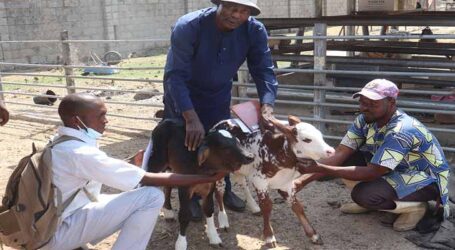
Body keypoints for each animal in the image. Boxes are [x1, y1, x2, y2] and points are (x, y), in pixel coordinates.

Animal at [213, 115, 334, 248]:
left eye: (321, 136)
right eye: (307, 140)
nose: (331, 150)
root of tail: (222, 122)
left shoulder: (286, 184)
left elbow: (297, 206)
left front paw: (313, 234)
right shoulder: (260, 181)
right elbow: (267, 206)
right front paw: (269, 236)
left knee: (242, 182)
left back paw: (254, 207)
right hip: (219, 170)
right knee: (219, 190)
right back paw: (223, 220)